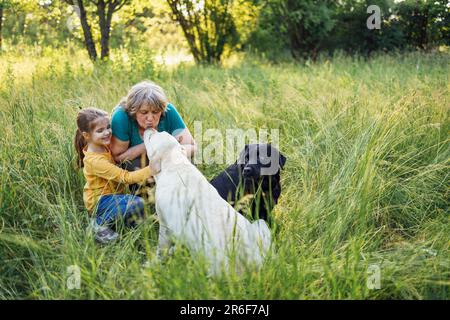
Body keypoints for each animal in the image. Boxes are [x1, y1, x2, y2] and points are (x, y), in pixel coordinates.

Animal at [144, 129, 270, 274]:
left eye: (150, 137)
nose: (150, 129)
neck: (176, 165)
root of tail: (253, 260)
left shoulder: (164, 224)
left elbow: (161, 247)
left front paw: (154, 262)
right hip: (261, 224)